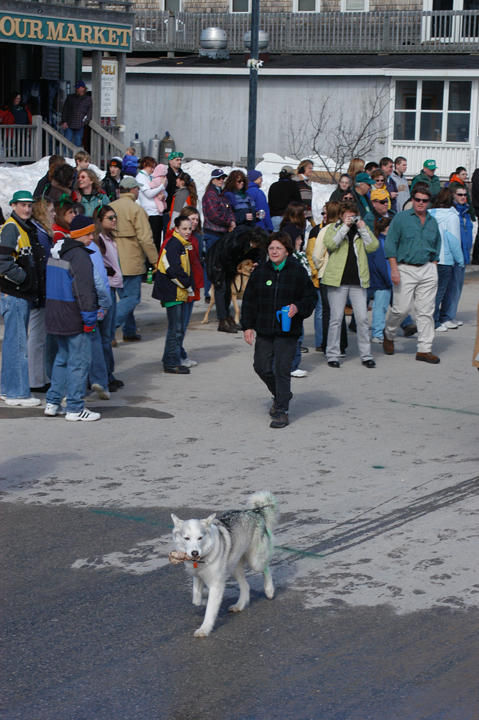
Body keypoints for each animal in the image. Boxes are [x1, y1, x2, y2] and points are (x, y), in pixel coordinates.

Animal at [172, 492, 278, 640]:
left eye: (200, 537)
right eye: (186, 538)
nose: (194, 553)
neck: (204, 557)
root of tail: (255, 511)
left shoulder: (216, 583)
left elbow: (210, 610)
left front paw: (204, 629)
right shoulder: (198, 577)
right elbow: (196, 600)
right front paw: (204, 599)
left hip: (255, 561)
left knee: (267, 568)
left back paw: (269, 590)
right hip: (234, 566)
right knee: (245, 586)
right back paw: (239, 605)